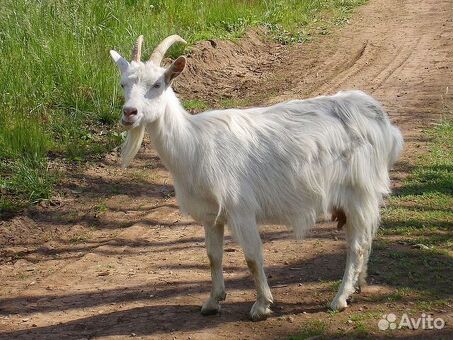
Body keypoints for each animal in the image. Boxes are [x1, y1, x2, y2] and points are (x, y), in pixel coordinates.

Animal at [108, 35, 402, 320]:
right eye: (123, 84)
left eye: (157, 84)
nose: (129, 113)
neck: (194, 143)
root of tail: (380, 119)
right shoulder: (211, 215)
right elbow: (213, 256)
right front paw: (213, 302)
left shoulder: (241, 210)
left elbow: (252, 257)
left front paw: (261, 305)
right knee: (365, 238)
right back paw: (358, 285)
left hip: (359, 192)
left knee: (357, 245)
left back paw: (340, 298)